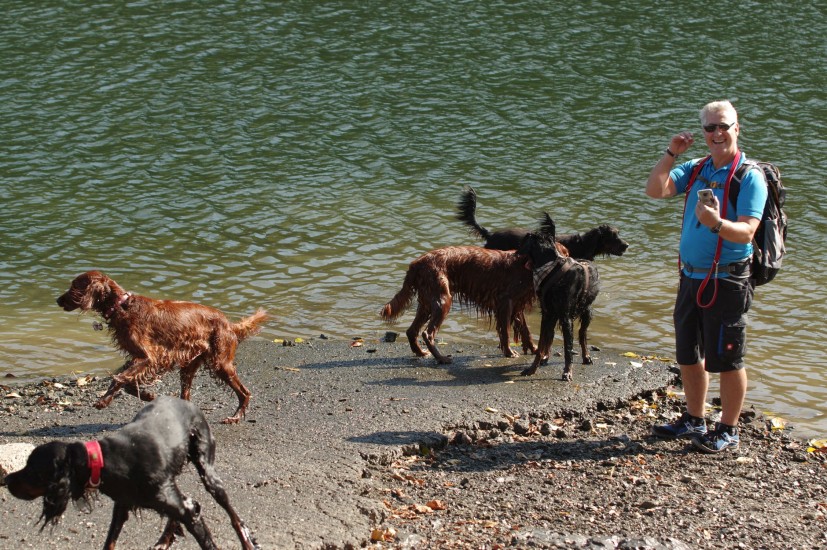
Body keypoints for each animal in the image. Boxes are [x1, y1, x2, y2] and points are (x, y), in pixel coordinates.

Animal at [4, 397, 258, 549]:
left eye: (33, 469)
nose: (6, 479)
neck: (104, 460)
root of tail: (187, 401)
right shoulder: (123, 505)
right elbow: (110, 542)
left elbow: (205, 538)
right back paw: (164, 539)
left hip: (207, 471)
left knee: (231, 514)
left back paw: (247, 541)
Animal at [57, 270, 267, 424]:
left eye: (74, 286)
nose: (57, 300)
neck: (122, 306)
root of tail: (229, 324)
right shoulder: (140, 358)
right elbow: (128, 382)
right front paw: (148, 395)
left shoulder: (149, 357)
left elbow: (120, 379)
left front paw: (104, 400)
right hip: (190, 365)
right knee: (186, 394)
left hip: (220, 363)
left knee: (245, 393)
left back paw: (235, 417)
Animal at [380, 244, 569, 364]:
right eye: (564, 255)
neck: (527, 266)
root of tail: (416, 263)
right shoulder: (505, 302)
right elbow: (506, 332)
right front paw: (509, 352)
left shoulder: (517, 305)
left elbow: (525, 331)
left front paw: (535, 349)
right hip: (443, 300)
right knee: (428, 333)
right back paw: (442, 358)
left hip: (426, 303)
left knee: (412, 331)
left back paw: (421, 352)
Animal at [517, 221, 600, 381]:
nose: (514, 253)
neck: (551, 268)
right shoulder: (547, 313)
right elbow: (542, 344)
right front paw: (532, 368)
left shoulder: (566, 316)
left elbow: (568, 348)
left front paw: (567, 371)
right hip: (554, 314)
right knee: (550, 337)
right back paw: (546, 358)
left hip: (587, 311)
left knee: (582, 334)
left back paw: (586, 356)